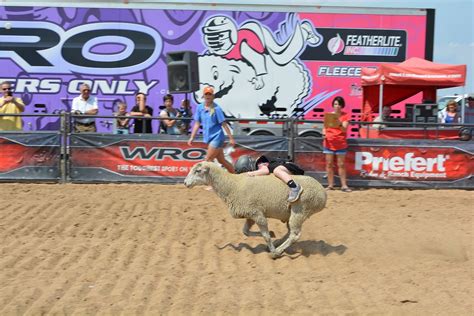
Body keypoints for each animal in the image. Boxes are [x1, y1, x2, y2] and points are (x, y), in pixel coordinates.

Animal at [183, 162, 328, 258]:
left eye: (198, 171)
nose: (185, 183)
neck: (232, 185)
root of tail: (323, 193)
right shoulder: (250, 214)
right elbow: (246, 232)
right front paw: (272, 235)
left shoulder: (257, 214)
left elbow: (265, 236)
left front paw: (272, 248)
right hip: (292, 214)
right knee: (290, 232)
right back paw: (278, 243)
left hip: (300, 210)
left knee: (295, 235)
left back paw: (277, 252)